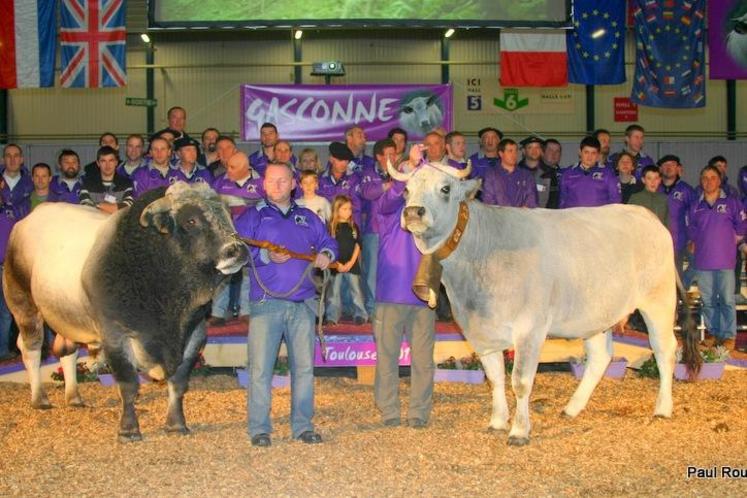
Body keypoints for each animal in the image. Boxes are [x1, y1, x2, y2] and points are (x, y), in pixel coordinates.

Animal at [388, 161, 704, 446]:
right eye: (406, 190)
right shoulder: (481, 331)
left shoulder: (530, 328)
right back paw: (572, 408)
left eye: (445, 188)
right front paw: (497, 421)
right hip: (596, 314)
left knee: (665, 350)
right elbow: (495, 377)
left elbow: (520, 381)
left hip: (658, 300)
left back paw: (662, 408)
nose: (413, 212)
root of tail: (648, 216)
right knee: (601, 357)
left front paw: (519, 431)